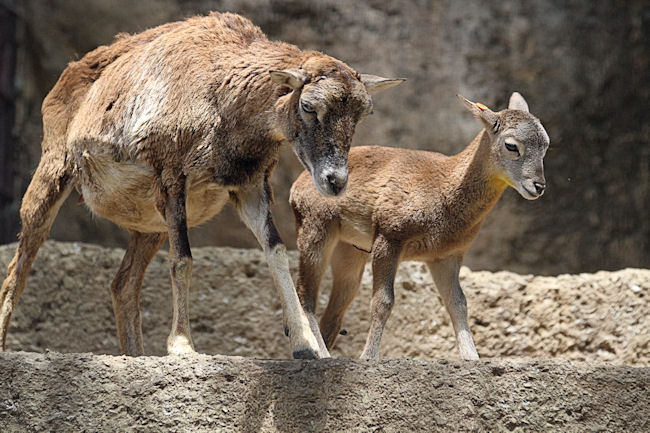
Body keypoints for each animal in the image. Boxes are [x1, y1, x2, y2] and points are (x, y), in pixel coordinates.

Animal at [0, 12, 402, 358]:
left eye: (362, 113)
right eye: (308, 105)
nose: (335, 181)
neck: (220, 96)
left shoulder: (249, 188)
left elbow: (275, 251)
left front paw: (306, 349)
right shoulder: (173, 178)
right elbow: (183, 260)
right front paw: (183, 347)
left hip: (150, 225)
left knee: (123, 285)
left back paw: (136, 355)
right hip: (53, 176)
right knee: (18, 268)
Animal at [292, 93, 548, 358]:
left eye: (546, 145)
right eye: (511, 145)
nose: (538, 186)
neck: (442, 189)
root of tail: (296, 186)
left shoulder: (446, 256)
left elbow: (458, 304)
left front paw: (472, 357)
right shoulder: (389, 239)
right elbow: (383, 302)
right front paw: (368, 357)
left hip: (350, 251)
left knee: (334, 311)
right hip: (316, 232)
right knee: (305, 295)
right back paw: (319, 354)